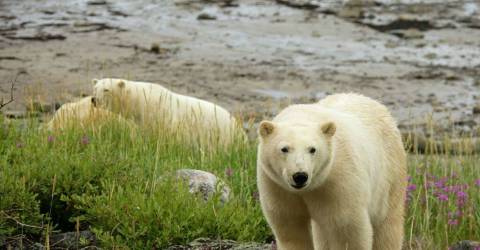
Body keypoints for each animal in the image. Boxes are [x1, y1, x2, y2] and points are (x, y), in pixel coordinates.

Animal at [256, 93, 406, 250]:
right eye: (284, 149)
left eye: (312, 149)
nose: (300, 176)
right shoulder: (277, 186)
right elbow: (291, 226)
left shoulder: (338, 180)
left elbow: (345, 227)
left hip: (388, 176)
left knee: (387, 225)